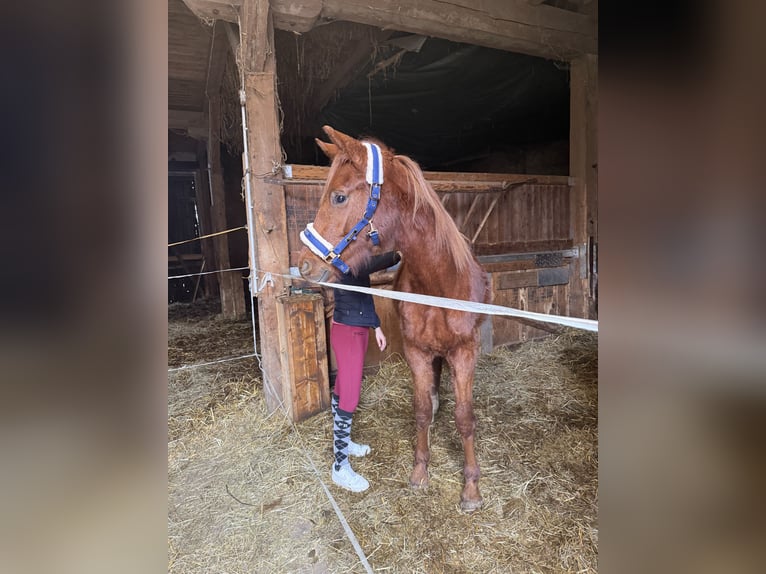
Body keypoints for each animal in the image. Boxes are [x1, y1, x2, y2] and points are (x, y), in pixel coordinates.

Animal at [298, 126, 490, 511]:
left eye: (339, 197)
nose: (304, 265)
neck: (438, 283)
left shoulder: (465, 353)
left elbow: (465, 418)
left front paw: (471, 490)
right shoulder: (417, 352)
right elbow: (421, 410)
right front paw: (420, 472)